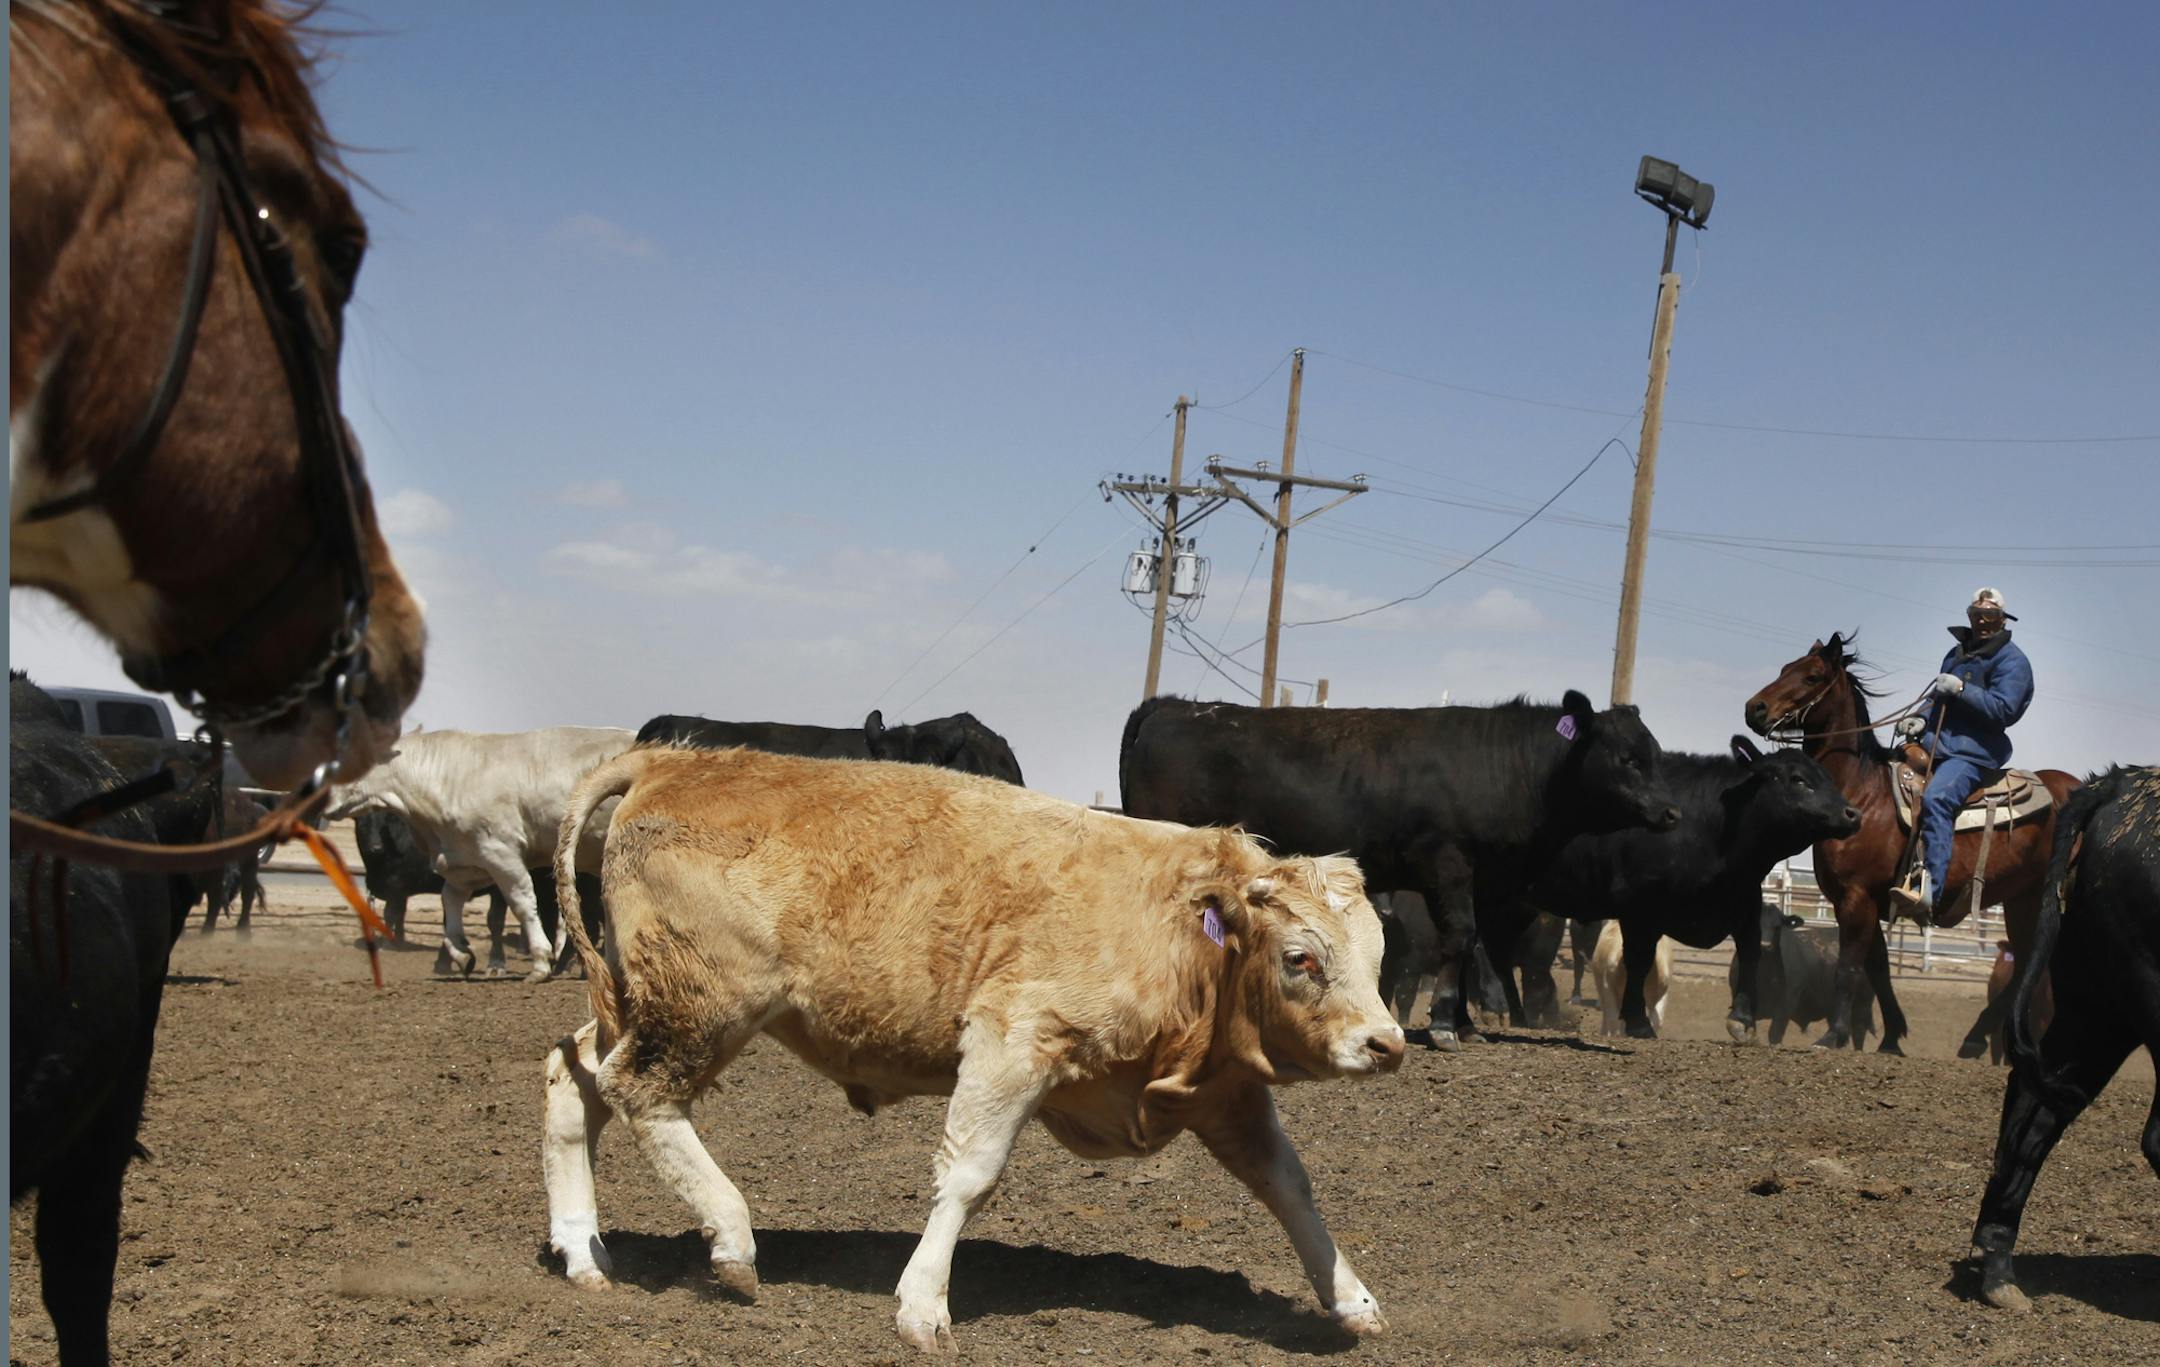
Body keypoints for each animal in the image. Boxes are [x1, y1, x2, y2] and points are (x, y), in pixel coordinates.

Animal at [323, 727, 634, 980]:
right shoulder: (466, 860)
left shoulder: (501, 853)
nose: (324, 800)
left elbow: (522, 904)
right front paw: (462, 955)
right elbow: (450, 902)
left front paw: (539, 963)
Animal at [540, 745, 1404, 1352]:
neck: (1178, 931)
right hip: (702, 1002)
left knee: (573, 1075)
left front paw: (1352, 1298)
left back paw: (584, 1250)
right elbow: (970, 1173)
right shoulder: (1014, 1037)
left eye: (1379, 957)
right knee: (639, 1090)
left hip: (638, 998)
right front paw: (923, 1304)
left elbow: (1289, 1185)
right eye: (1301, 957)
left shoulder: (1221, 1091)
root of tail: (672, 758)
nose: (1387, 1042)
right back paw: (731, 1239)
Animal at [1119, 692, 1681, 1050]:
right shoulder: (1447, 865)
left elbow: (1471, 945)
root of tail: (1171, 705)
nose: (1672, 811)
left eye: (1654, 754)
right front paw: (1446, 1025)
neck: (1507, 767)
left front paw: (1465, 1022)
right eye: (1628, 758)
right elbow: (1461, 936)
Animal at [1492, 737, 1860, 1041]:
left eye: (1828, 777)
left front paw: (1742, 1020)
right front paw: (1637, 1022)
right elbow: (1638, 960)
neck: (1711, 826)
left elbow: (1750, 951)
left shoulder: (1744, 903)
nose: (1852, 813)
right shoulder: (1641, 908)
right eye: (1798, 779)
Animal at [1737, 905, 1876, 1048]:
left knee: (1858, 1030)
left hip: (1863, 1001)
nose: (1764, 946)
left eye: (1777, 926)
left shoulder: (1785, 1005)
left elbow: (1774, 1034)